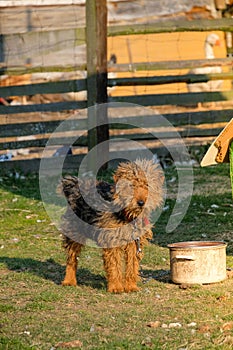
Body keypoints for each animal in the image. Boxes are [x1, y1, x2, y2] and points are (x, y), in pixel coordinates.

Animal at [60, 159, 164, 292]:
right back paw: (69, 280)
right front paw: (115, 287)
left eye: (147, 185)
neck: (127, 216)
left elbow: (132, 266)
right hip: (74, 232)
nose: (141, 203)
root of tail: (76, 186)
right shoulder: (112, 241)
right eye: (131, 185)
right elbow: (114, 265)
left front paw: (131, 286)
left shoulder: (134, 244)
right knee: (71, 259)